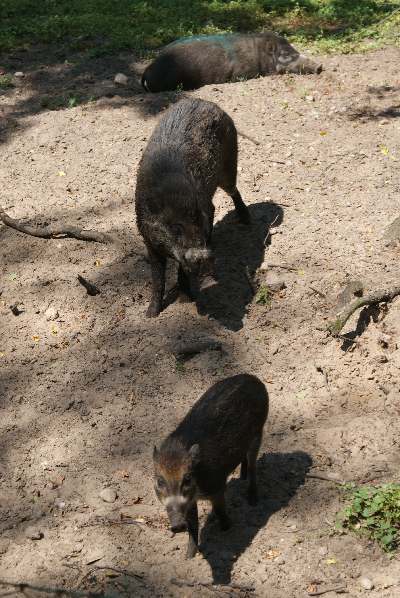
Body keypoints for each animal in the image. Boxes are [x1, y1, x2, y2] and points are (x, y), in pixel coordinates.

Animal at [136, 97, 252, 318]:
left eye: (199, 222)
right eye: (175, 227)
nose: (205, 258)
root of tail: (209, 103)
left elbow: (181, 270)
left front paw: (188, 299)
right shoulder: (149, 242)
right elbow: (157, 278)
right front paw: (150, 314)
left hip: (229, 164)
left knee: (233, 191)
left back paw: (246, 220)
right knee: (217, 205)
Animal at [153, 372, 268, 560]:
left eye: (187, 478)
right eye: (159, 481)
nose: (177, 526)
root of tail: (254, 379)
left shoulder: (217, 487)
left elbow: (221, 511)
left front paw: (227, 529)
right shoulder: (191, 501)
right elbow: (193, 525)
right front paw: (189, 557)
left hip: (258, 432)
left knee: (252, 466)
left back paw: (252, 499)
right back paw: (242, 477)